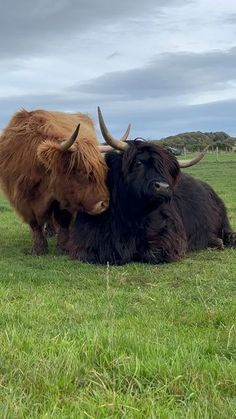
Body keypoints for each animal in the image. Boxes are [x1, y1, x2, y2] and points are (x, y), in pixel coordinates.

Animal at [67, 110, 236, 266]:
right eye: (138, 162)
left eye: (168, 170)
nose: (163, 187)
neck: (131, 216)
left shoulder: (170, 235)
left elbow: (152, 252)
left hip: (222, 219)